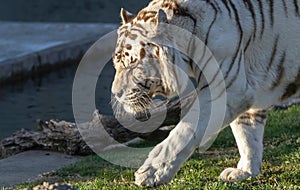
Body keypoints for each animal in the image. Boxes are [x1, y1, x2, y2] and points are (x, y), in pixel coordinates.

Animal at [111, 0, 300, 187]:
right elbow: (247, 134)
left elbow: (183, 132)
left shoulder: (226, 90)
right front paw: (245, 171)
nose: (115, 93)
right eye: (116, 64)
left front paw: (152, 172)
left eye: (132, 65)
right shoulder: (247, 89)